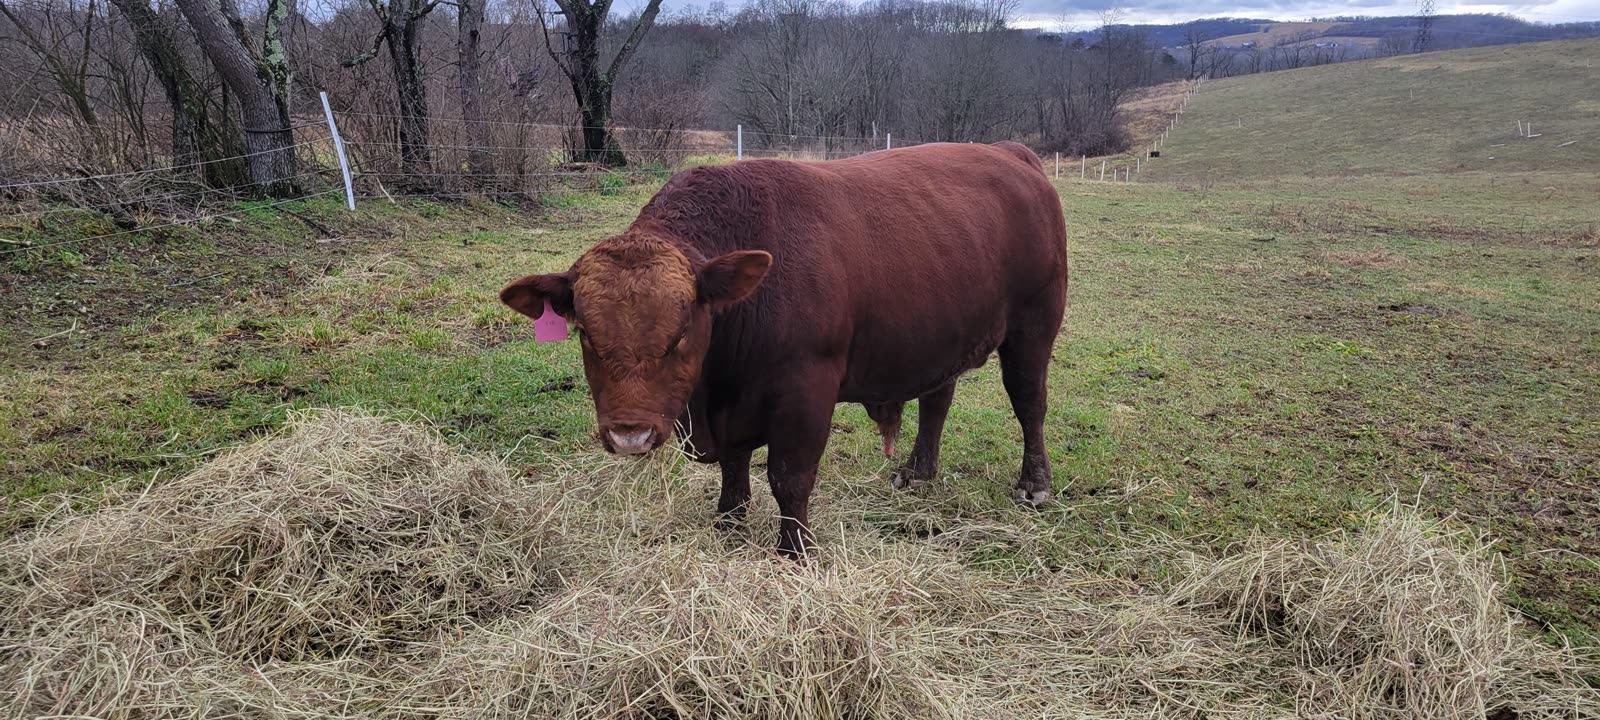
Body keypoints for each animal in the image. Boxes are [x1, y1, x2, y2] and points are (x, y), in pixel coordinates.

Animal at [500, 141, 1068, 558]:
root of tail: (1010, 151)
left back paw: (1034, 483)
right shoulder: (730, 408)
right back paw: (917, 471)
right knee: (938, 398)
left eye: (681, 332)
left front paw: (795, 550)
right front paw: (728, 523)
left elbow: (789, 478)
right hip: (938, 333)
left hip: (1033, 326)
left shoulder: (806, 389)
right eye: (585, 333)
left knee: (1030, 403)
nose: (630, 435)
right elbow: (734, 470)